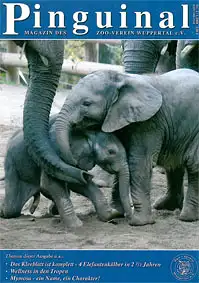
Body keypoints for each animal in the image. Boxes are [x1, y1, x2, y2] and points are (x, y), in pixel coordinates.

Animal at [0, 116, 133, 230]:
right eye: (111, 152)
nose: (126, 217)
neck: (87, 133)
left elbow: (78, 182)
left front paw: (111, 215)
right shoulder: (53, 152)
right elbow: (51, 183)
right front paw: (76, 226)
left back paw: (52, 210)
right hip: (11, 164)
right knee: (11, 208)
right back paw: (3, 211)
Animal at [54, 68, 199, 226]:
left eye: (86, 103)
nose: (128, 216)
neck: (121, 78)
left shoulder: (149, 122)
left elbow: (138, 162)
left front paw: (139, 222)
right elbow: (124, 161)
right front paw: (117, 212)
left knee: (193, 164)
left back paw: (187, 217)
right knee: (175, 165)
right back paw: (166, 206)